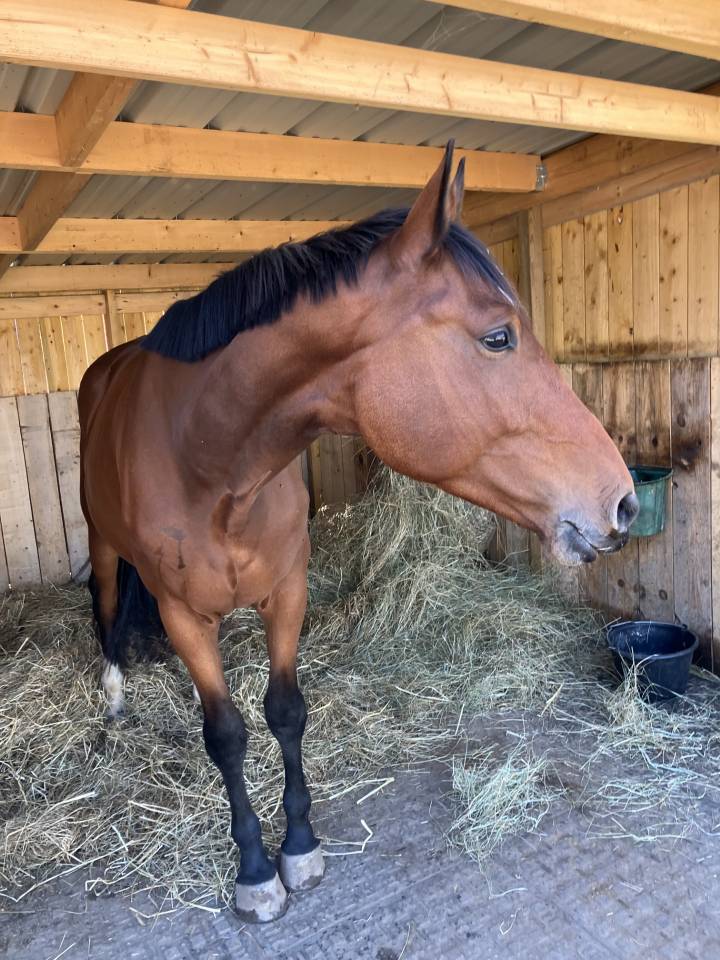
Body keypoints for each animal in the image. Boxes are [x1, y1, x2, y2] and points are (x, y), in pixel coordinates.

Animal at [78, 141, 637, 923]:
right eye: (498, 337)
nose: (623, 503)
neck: (209, 459)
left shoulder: (287, 592)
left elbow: (285, 712)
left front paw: (300, 847)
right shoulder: (184, 615)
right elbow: (226, 735)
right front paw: (255, 870)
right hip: (102, 544)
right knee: (104, 606)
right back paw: (114, 699)